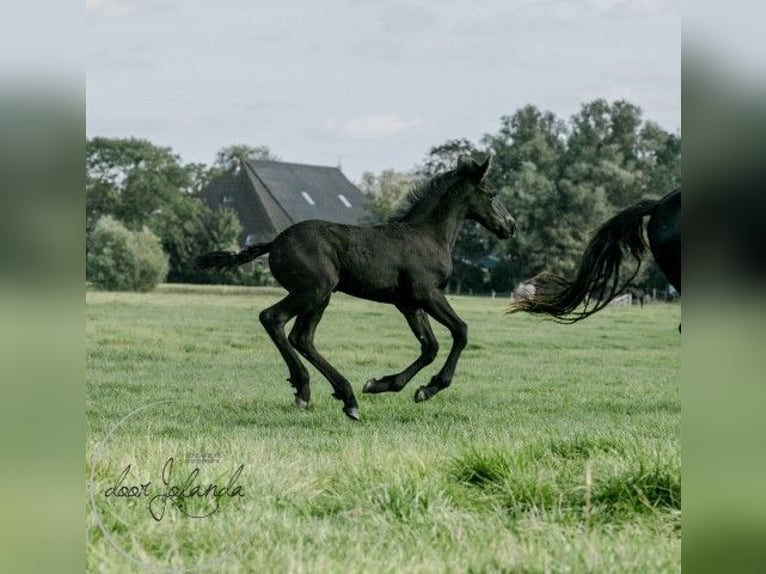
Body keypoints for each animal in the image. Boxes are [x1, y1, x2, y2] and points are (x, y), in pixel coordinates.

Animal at [198, 160, 516, 420]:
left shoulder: (409, 304)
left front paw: (384, 385)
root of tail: (274, 242)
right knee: (273, 319)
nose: (510, 226)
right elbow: (461, 331)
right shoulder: (428, 294)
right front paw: (430, 388)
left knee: (302, 337)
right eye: (492, 193)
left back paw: (337, 394)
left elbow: (430, 347)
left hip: (320, 297)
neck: (427, 236)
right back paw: (317, 391)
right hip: (314, 290)